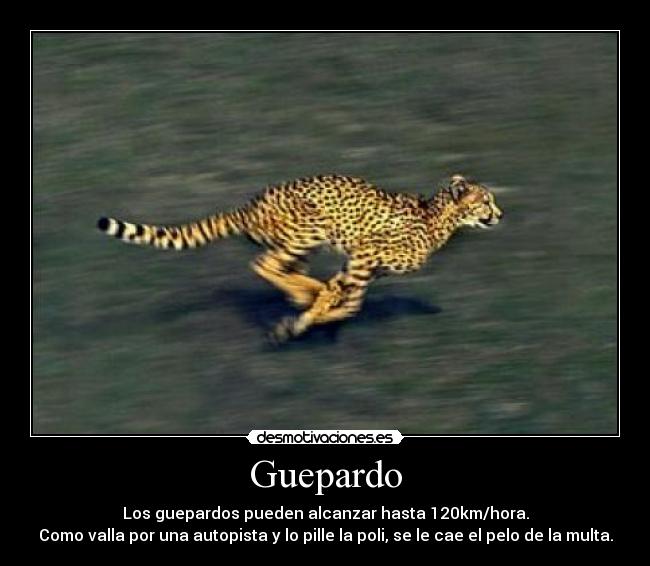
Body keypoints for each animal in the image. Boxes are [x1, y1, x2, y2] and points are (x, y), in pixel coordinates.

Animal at [97, 174, 503, 342]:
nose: (499, 214)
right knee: (264, 264)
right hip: (311, 227)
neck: (436, 218)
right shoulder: (365, 254)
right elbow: (349, 302)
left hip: (303, 244)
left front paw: (307, 317)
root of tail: (250, 204)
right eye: (485, 201)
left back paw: (305, 292)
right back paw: (305, 294)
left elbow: (347, 299)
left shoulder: (362, 266)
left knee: (288, 270)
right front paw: (306, 320)